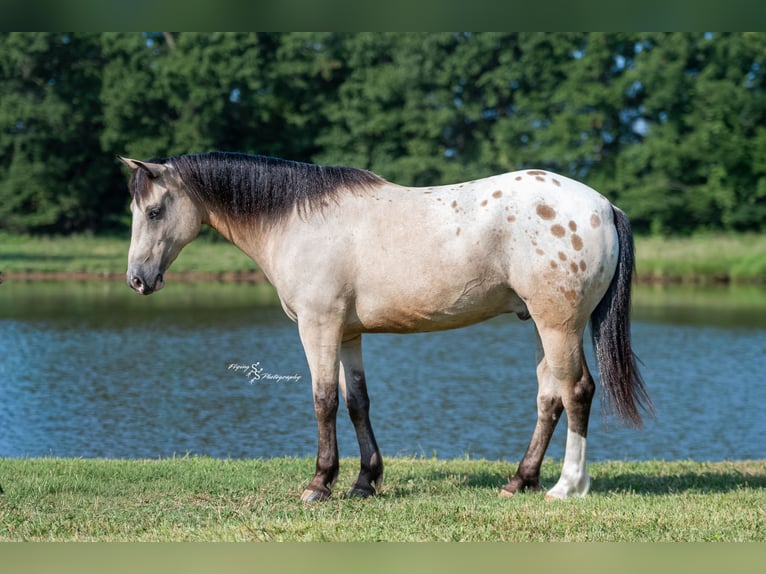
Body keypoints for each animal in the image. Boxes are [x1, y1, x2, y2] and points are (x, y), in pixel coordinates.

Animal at [120, 151, 652, 501]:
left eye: (154, 211)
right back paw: (520, 480)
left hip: (559, 324)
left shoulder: (318, 326)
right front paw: (364, 481)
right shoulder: (347, 333)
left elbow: (324, 401)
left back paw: (568, 486)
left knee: (577, 391)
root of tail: (604, 206)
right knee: (550, 397)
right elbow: (357, 402)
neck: (297, 220)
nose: (138, 280)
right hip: (540, 326)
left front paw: (320, 483)